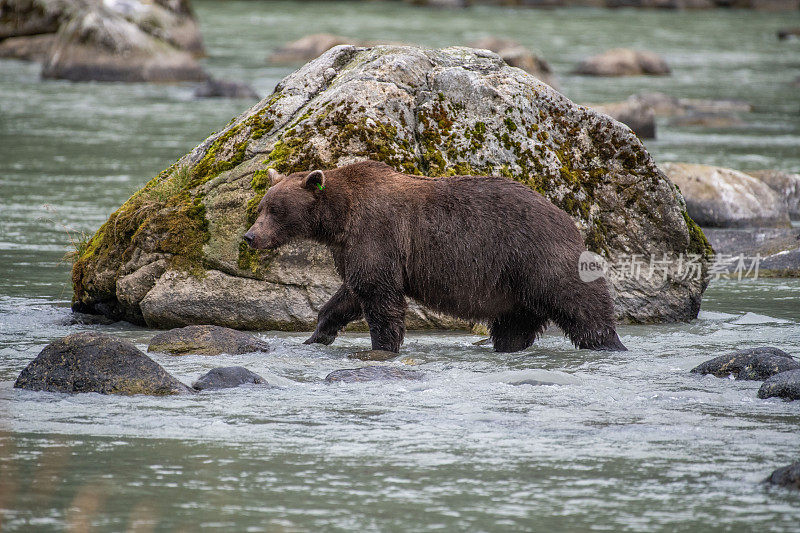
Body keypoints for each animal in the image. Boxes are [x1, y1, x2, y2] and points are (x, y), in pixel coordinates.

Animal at [244, 160, 624, 352]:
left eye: (275, 210)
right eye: (262, 207)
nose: (250, 236)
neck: (339, 218)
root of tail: (567, 217)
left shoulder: (377, 234)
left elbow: (380, 298)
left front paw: (384, 345)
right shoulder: (352, 249)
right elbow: (350, 293)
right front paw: (317, 334)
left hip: (535, 255)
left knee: (579, 302)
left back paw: (609, 343)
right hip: (514, 286)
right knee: (514, 324)